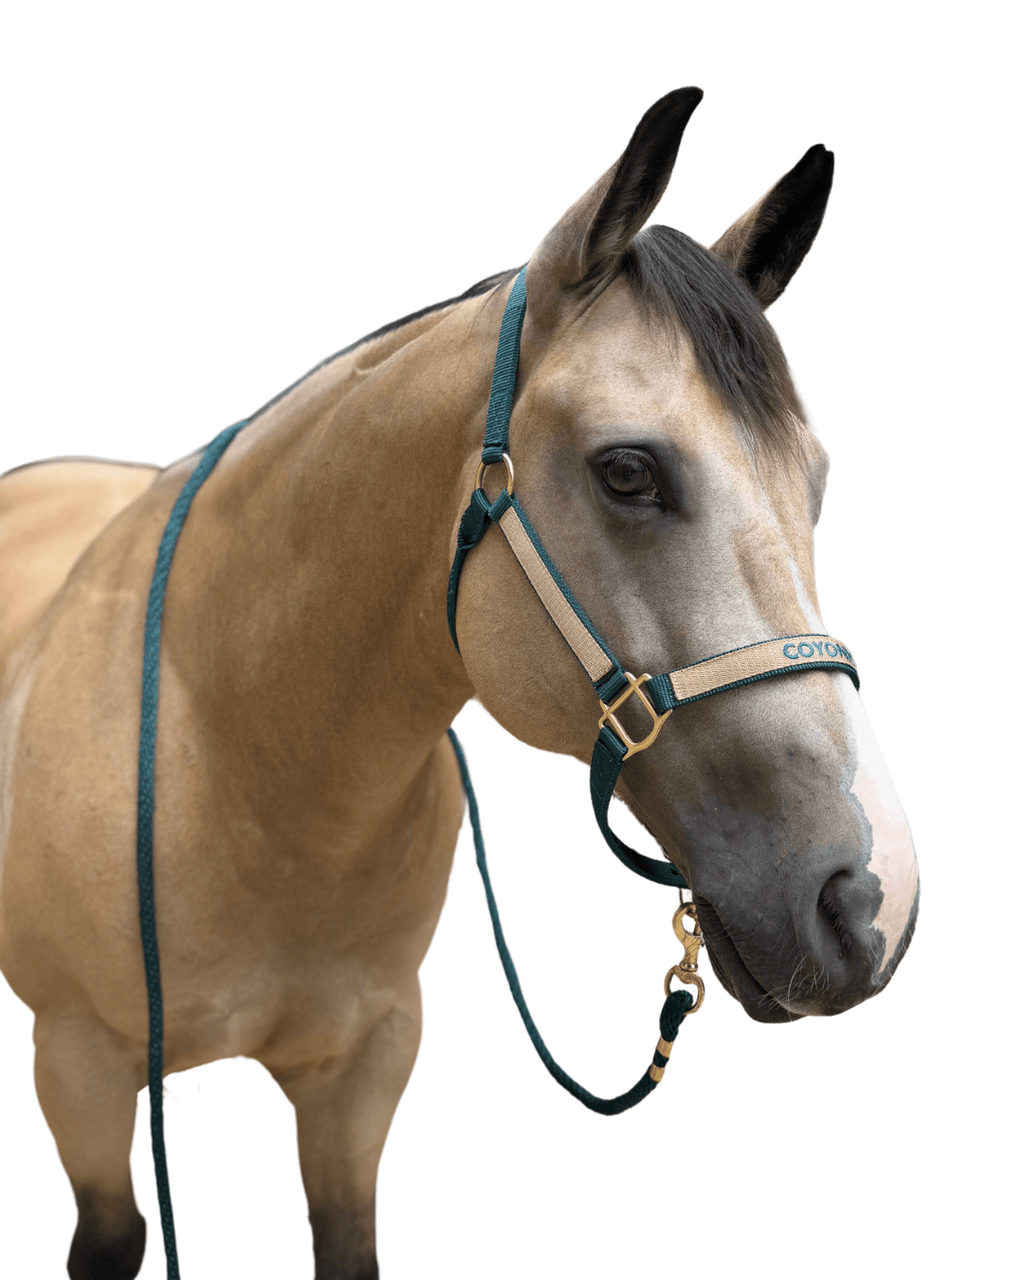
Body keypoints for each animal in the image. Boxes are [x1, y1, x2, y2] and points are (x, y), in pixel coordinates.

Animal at [0, 87, 918, 1279]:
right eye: (628, 471)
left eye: (814, 482)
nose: (869, 896)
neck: (241, 763)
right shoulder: (82, 1065)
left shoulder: (362, 1072)